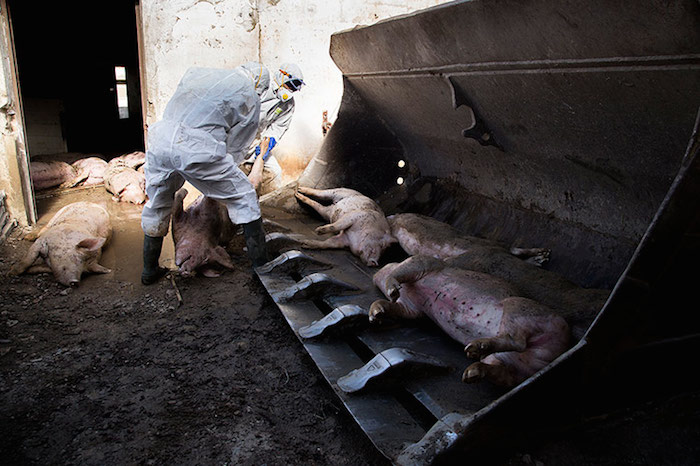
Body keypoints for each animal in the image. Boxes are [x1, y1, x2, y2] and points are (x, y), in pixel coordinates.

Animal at [372, 255, 568, 386]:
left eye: (390, 263)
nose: (376, 272)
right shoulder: (413, 309)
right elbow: (397, 309)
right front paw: (376, 313)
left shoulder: (425, 264)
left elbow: (402, 272)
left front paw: (392, 291)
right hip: (514, 366)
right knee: (502, 372)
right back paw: (470, 372)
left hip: (518, 308)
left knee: (517, 341)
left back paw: (473, 350)